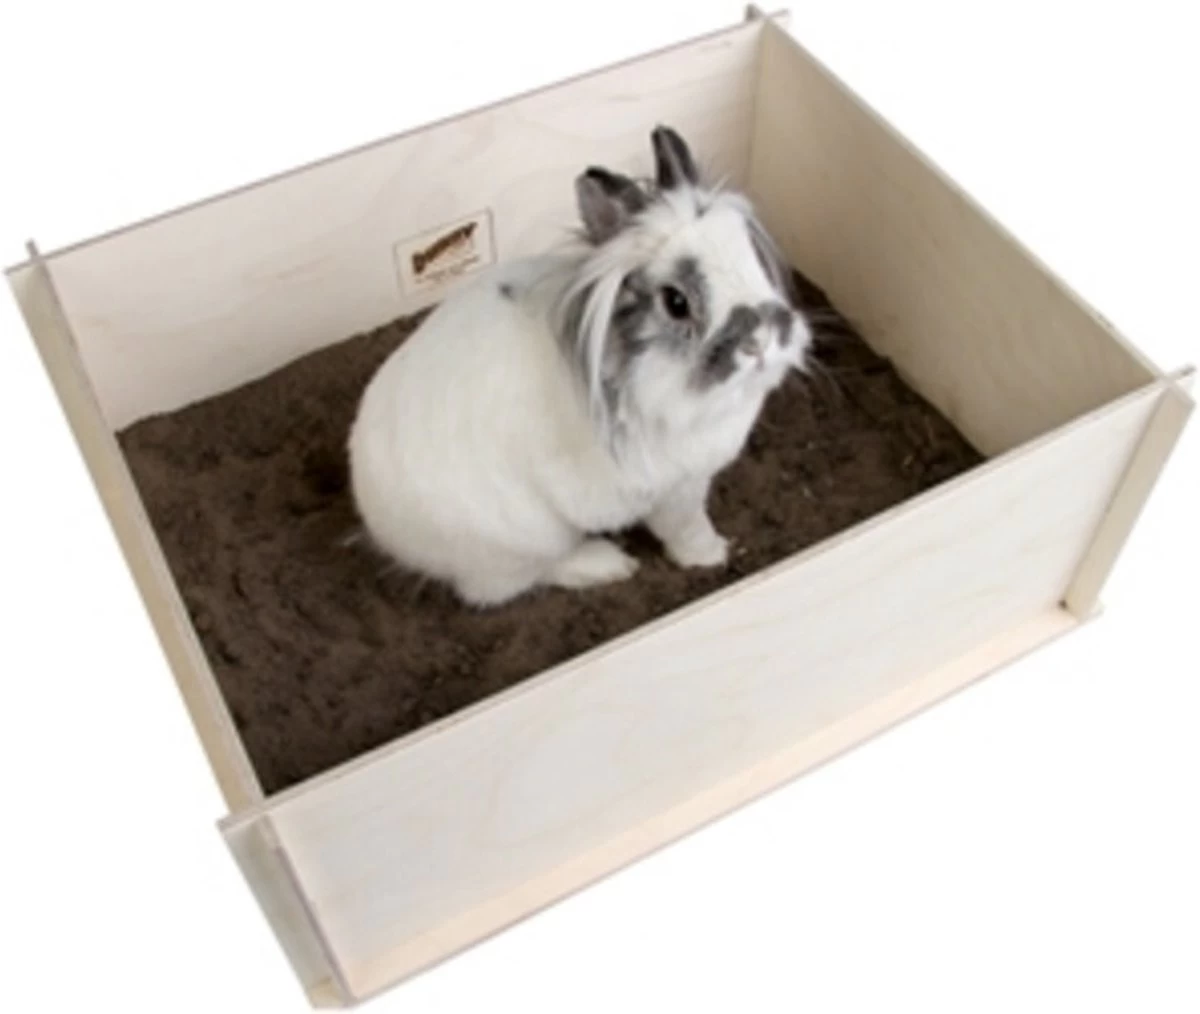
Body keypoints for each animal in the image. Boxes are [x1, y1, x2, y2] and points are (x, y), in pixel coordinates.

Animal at [348, 125, 813, 607]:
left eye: (750, 256)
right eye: (676, 302)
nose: (762, 340)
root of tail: (378, 518)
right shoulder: (673, 492)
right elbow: (685, 528)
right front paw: (711, 555)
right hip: (525, 541)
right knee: (509, 584)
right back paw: (606, 564)